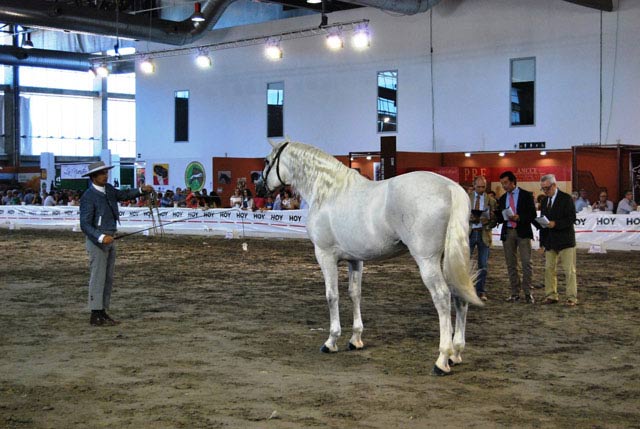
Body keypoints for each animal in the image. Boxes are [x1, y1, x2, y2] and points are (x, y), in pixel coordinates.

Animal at [262, 139, 482, 372]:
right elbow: (354, 293)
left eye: (267, 161)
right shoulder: (355, 259)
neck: (328, 192)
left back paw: (442, 359)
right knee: (459, 297)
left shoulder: (324, 255)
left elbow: (332, 296)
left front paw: (331, 341)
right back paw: (456, 353)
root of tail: (451, 188)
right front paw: (355, 339)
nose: (261, 187)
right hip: (451, 258)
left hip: (427, 260)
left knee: (442, 297)